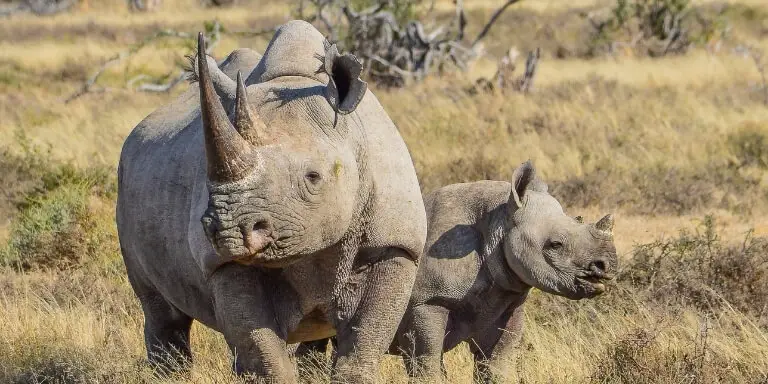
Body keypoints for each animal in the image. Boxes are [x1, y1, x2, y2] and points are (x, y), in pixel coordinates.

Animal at [115, 20, 426, 380]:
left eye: (313, 177)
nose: (228, 231)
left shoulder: (394, 244)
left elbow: (364, 344)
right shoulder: (223, 263)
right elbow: (263, 352)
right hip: (127, 180)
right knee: (162, 311)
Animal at [300, 159, 616, 380]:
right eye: (555, 244)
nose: (606, 268)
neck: (499, 221)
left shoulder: (508, 299)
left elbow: (497, 364)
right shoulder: (428, 301)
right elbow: (427, 361)